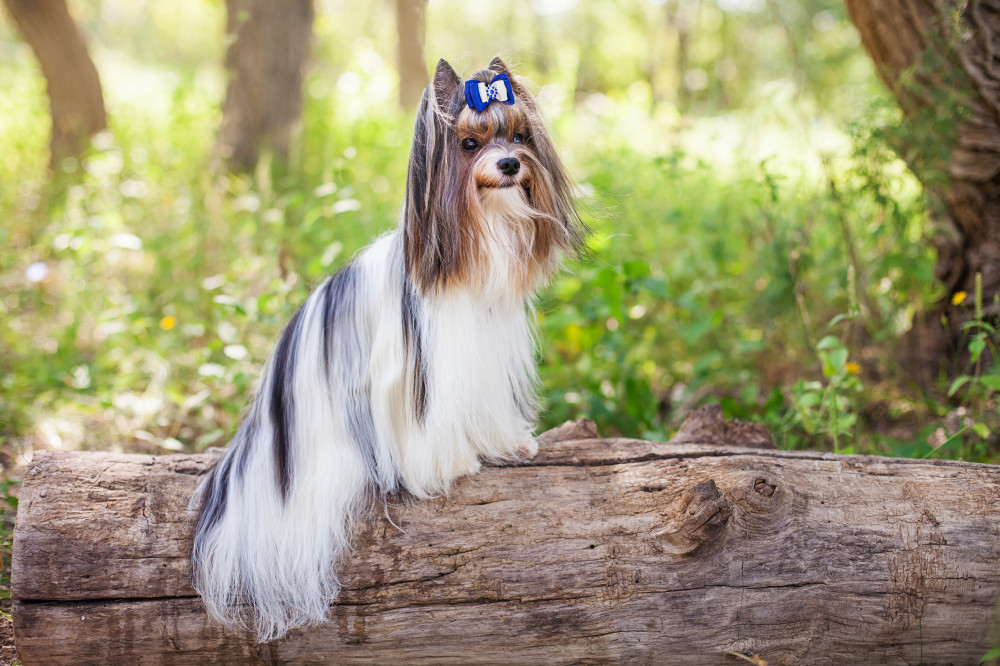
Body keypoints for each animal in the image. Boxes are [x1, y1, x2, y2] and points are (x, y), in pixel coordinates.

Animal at [189, 55, 584, 640]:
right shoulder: (423, 370)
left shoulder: (483, 356)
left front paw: (508, 443)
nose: (511, 164)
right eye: (469, 144)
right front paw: (450, 463)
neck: (481, 230)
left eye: (519, 135)